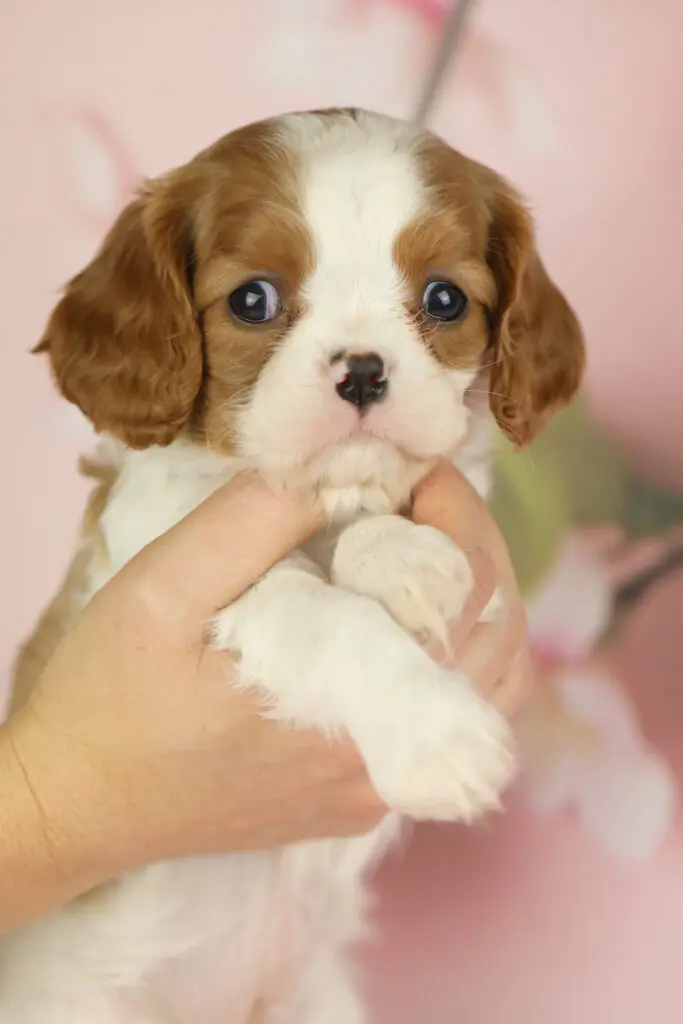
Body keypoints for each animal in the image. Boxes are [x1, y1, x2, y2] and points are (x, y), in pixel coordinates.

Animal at [2, 110, 585, 1024]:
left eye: (444, 299)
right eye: (253, 300)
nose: (363, 371)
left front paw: (400, 557)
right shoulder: (167, 564)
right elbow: (313, 609)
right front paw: (437, 737)